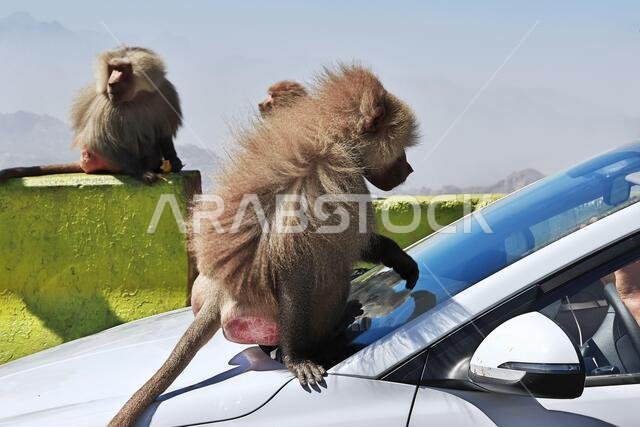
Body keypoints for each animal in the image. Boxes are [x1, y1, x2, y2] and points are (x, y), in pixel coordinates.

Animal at [0, 46, 184, 184]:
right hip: (100, 159)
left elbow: (164, 132)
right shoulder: (108, 103)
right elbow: (100, 141)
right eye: (112, 69)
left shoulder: (164, 92)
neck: (137, 96)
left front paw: (174, 160)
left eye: (122, 69)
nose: (111, 83)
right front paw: (143, 172)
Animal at [109, 64, 420, 426]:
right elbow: (317, 257)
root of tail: (221, 294)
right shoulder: (344, 181)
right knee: (326, 274)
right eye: (400, 149)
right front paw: (297, 358)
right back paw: (326, 331)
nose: (409, 168)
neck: (334, 135)